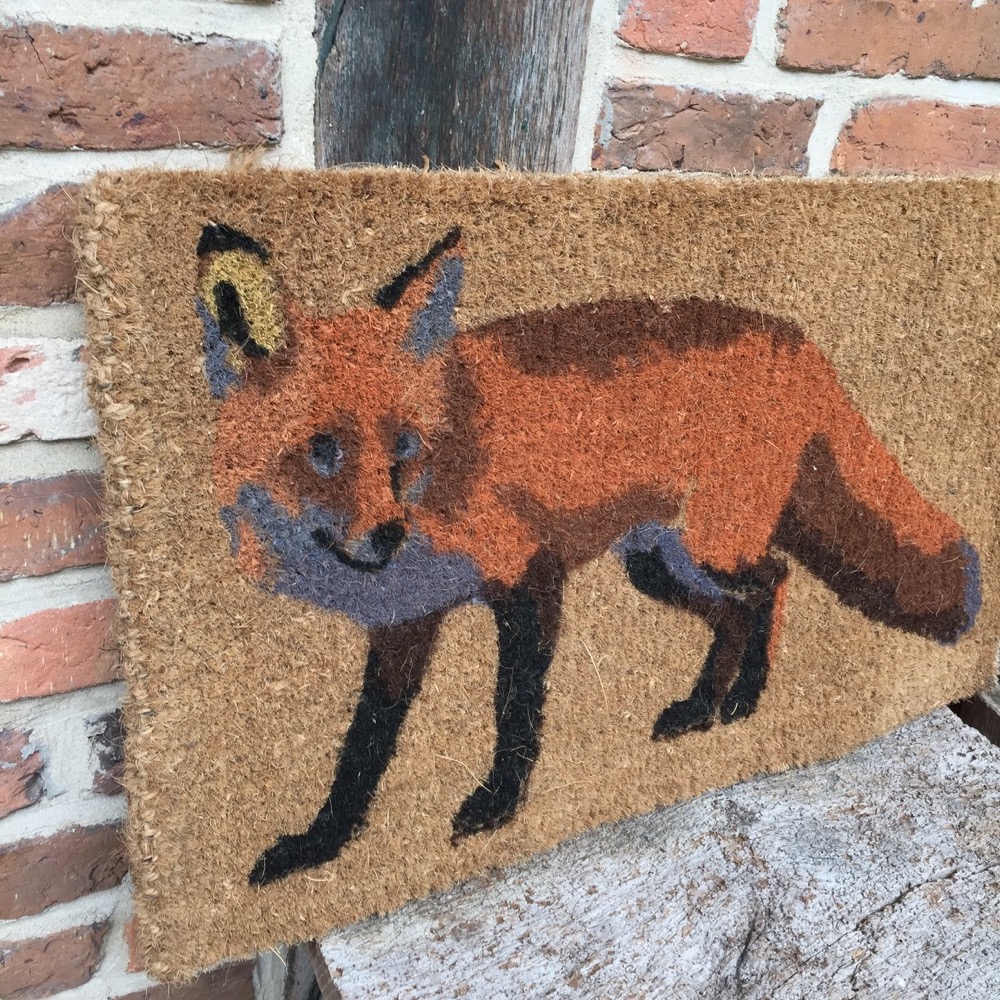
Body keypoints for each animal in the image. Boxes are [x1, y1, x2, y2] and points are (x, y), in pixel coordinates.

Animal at [194, 221, 981, 887]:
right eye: (321, 450)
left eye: (405, 445)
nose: (387, 534)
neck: (440, 480)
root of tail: (794, 333)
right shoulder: (403, 624)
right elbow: (360, 751)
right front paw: (318, 848)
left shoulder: (528, 577)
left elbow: (514, 708)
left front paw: (497, 806)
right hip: (658, 564)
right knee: (738, 609)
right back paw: (702, 707)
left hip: (711, 549)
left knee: (774, 581)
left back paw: (749, 697)